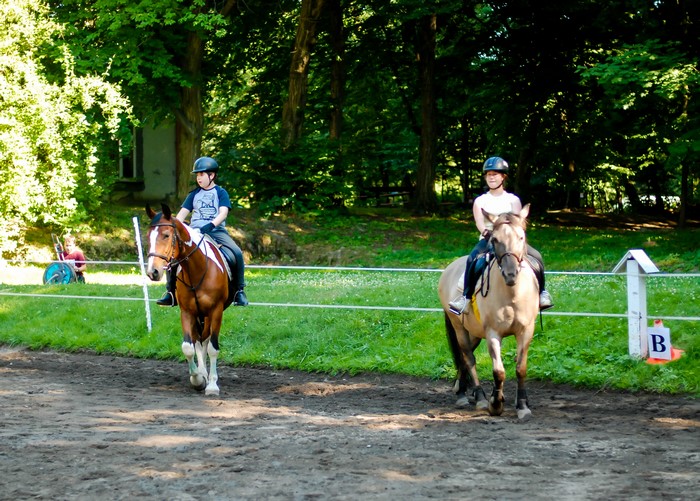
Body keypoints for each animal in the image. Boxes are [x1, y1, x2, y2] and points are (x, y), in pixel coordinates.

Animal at [145, 203, 231, 396]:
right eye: (148, 237)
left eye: (166, 235)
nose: (153, 272)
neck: (197, 270)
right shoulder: (187, 312)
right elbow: (188, 347)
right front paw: (197, 378)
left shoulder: (216, 311)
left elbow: (213, 348)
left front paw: (212, 385)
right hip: (199, 315)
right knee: (199, 341)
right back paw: (202, 373)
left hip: (208, 315)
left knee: (205, 340)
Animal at [437, 204, 540, 420]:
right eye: (494, 239)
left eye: (521, 237)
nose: (511, 274)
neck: (512, 294)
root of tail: (449, 268)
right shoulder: (493, 332)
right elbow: (498, 371)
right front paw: (495, 404)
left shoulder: (526, 331)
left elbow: (521, 368)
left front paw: (522, 405)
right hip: (459, 327)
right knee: (468, 357)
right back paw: (477, 397)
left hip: (474, 332)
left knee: (464, 357)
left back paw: (462, 391)